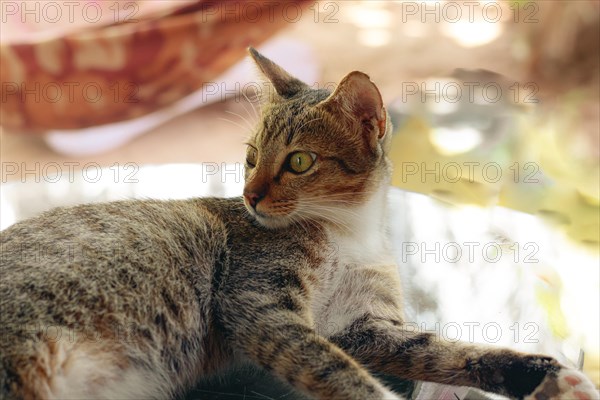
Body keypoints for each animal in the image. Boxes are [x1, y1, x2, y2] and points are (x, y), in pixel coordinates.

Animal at [0, 47, 596, 400]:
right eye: (250, 157)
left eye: (299, 161)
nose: (249, 195)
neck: (348, 232)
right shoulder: (262, 305)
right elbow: (337, 371)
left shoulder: (364, 327)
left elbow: (440, 348)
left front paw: (541, 374)